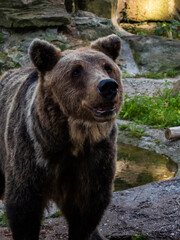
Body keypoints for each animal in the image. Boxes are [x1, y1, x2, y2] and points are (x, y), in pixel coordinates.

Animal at [0, 34, 123, 240]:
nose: (107, 86)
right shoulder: (32, 152)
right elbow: (23, 207)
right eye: (76, 71)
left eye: (108, 67)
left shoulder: (95, 157)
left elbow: (88, 208)